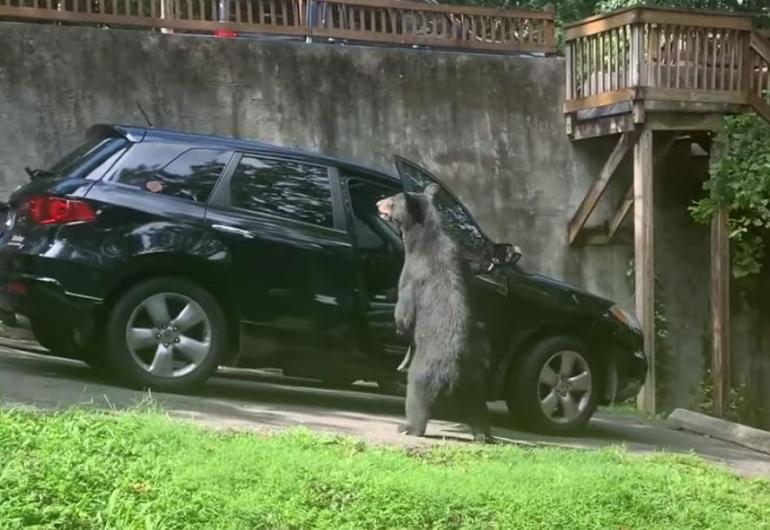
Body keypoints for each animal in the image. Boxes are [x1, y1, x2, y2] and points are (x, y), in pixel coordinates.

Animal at [376, 184, 488, 440]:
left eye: (392, 200)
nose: (377, 203)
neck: (422, 238)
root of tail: (455, 375)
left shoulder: (413, 272)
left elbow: (405, 308)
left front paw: (400, 325)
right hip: (475, 383)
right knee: (479, 408)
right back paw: (484, 434)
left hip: (425, 371)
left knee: (416, 395)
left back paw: (408, 427)